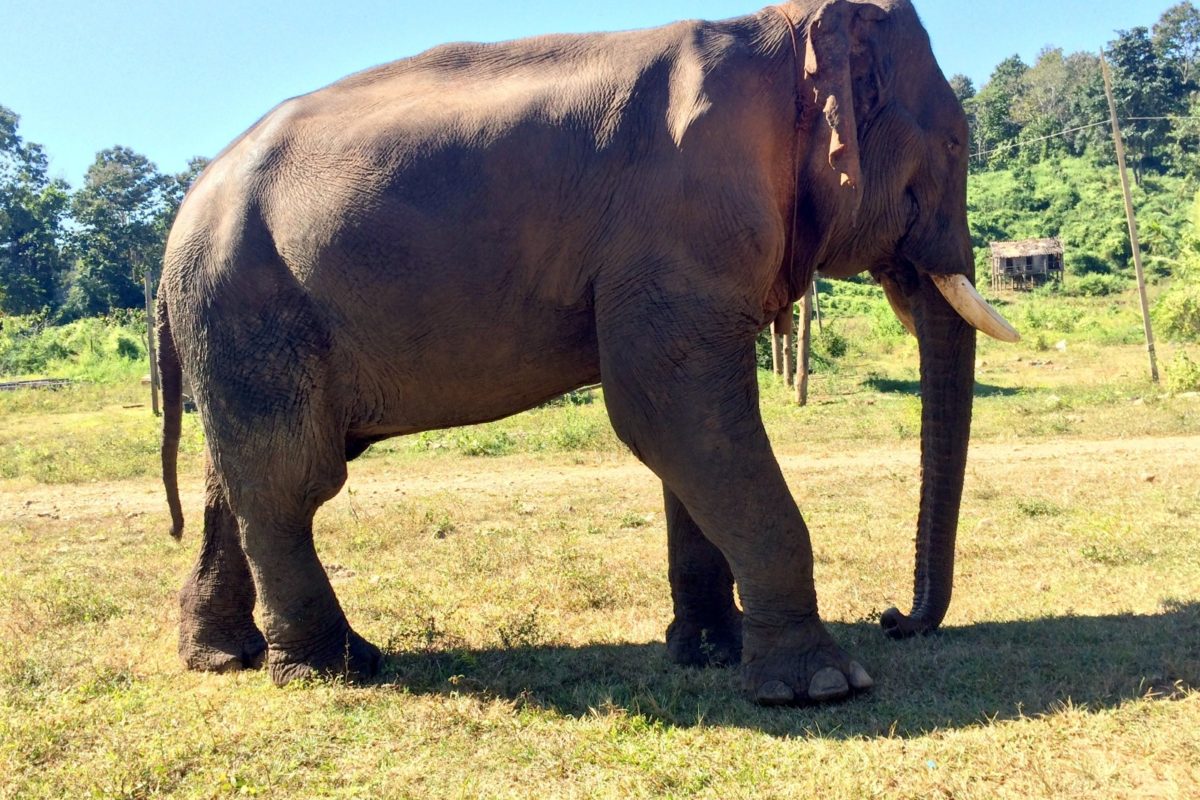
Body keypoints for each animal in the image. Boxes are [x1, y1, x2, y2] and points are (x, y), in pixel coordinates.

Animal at [157, 0, 1022, 705]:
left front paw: (708, 653)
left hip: (240, 324)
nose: (893, 617)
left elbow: (690, 439)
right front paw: (823, 687)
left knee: (236, 477)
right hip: (251, 304)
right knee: (292, 478)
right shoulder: (677, 223)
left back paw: (225, 657)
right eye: (955, 143)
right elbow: (666, 412)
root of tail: (179, 222)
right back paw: (338, 667)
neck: (777, 32)